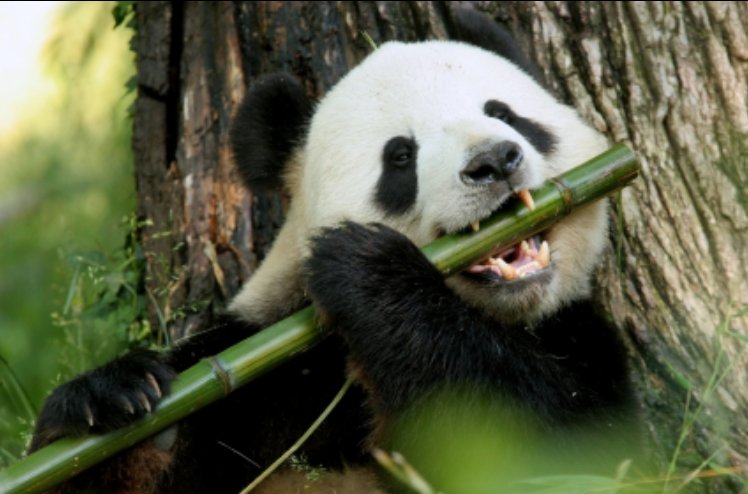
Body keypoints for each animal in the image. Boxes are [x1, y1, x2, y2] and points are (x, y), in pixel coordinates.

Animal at [29, 9, 640, 494]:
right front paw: (112, 402)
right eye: (400, 156)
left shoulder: (580, 338)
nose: (494, 160)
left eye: (506, 114)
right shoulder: (263, 375)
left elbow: (554, 448)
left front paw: (367, 270)